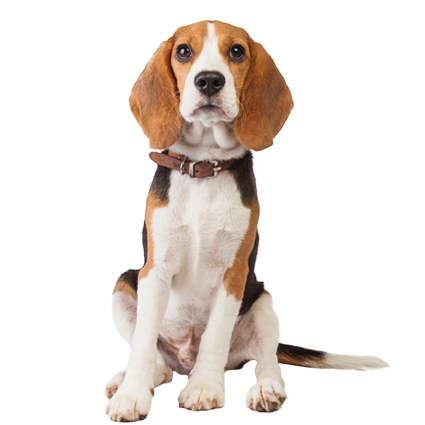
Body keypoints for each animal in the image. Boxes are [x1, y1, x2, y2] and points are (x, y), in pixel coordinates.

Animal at [105, 20, 388, 422]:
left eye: (237, 51)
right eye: (183, 51)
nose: (209, 80)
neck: (205, 167)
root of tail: (184, 361)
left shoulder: (235, 273)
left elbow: (216, 336)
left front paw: (205, 388)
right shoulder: (154, 271)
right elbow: (144, 341)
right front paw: (131, 396)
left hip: (264, 302)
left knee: (267, 361)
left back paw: (266, 390)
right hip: (123, 284)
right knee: (160, 366)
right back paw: (126, 378)